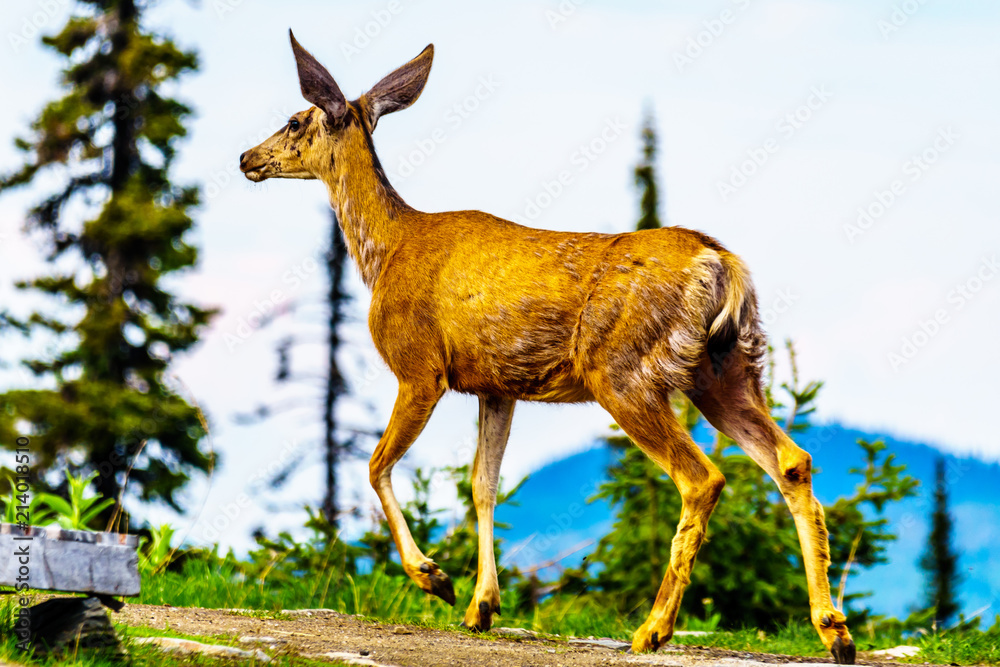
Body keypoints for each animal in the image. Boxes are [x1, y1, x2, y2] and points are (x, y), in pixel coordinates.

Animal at [238, 31, 857, 662]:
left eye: (294, 120)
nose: (245, 158)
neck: (386, 249)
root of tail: (723, 265)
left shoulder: (420, 368)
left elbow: (377, 463)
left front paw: (435, 579)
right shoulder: (495, 386)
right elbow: (483, 485)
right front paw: (482, 606)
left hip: (625, 371)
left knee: (702, 477)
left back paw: (653, 629)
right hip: (729, 367)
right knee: (792, 461)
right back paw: (835, 631)